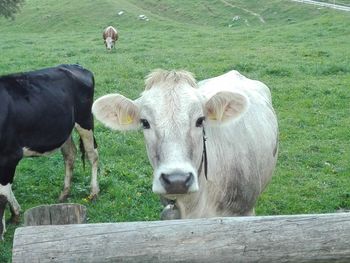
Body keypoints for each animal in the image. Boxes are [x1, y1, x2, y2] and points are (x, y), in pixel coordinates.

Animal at [0, 65, 99, 240]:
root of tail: (76, 66)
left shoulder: (9, 155)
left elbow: (2, 196)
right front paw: (15, 213)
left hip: (85, 120)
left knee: (92, 154)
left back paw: (93, 192)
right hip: (65, 128)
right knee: (70, 154)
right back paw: (64, 192)